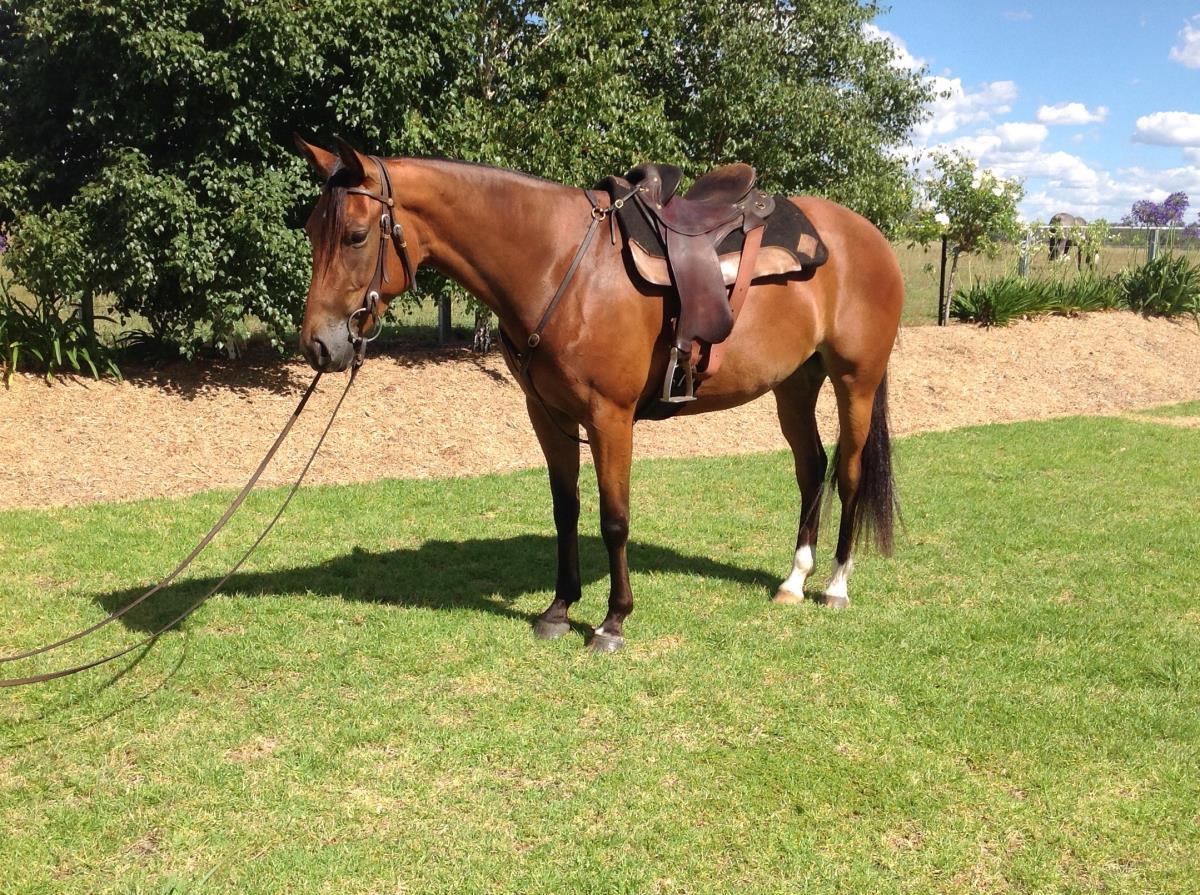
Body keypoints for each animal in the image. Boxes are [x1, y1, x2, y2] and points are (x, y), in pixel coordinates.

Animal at [293, 136, 902, 653]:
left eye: (354, 235)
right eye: (311, 231)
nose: (320, 345)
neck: (561, 264)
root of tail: (865, 235)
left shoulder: (611, 417)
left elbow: (614, 518)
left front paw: (613, 621)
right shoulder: (547, 415)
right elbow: (566, 509)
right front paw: (559, 609)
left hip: (856, 382)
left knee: (848, 472)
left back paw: (836, 586)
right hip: (795, 384)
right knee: (811, 467)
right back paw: (794, 580)